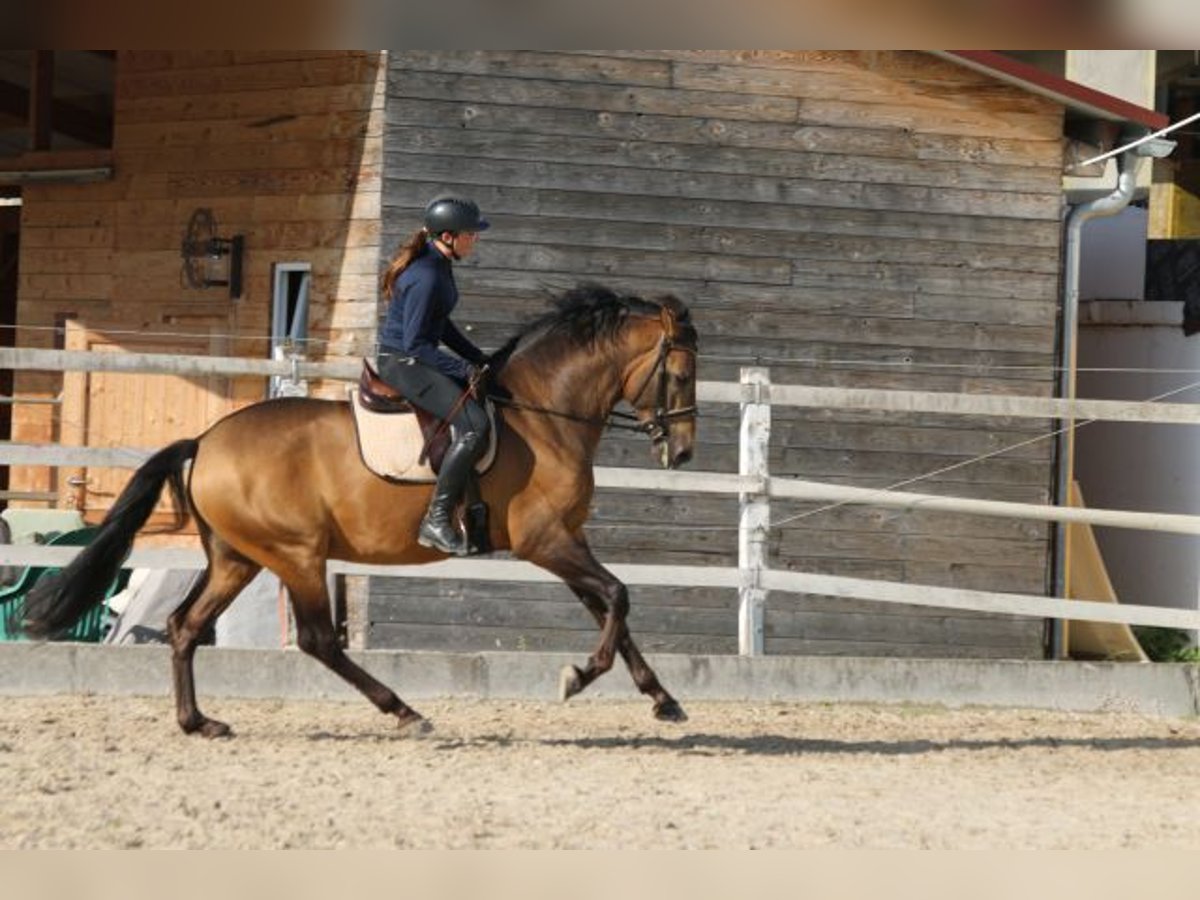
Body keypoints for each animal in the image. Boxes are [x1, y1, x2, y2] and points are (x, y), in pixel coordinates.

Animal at [18, 285, 700, 734]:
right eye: (681, 373)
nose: (684, 450)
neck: (542, 413)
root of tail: (206, 440)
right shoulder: (544, 541)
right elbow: (617, 598)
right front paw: (578, 677)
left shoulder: (568, 540)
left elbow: (610, 607)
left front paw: (662, 699)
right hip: (296, 554)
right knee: (318, 639)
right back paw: (404, 711)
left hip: (237, 557)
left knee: (186, 626)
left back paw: (198, 722)